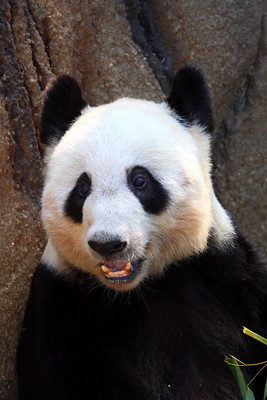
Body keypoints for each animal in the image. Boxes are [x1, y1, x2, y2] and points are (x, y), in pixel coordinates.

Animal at [16, 67, 267, 398]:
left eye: (139, 180)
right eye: (82, 188)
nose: (108, 243)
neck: (139, 291)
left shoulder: (228, 275)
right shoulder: (61, 303)